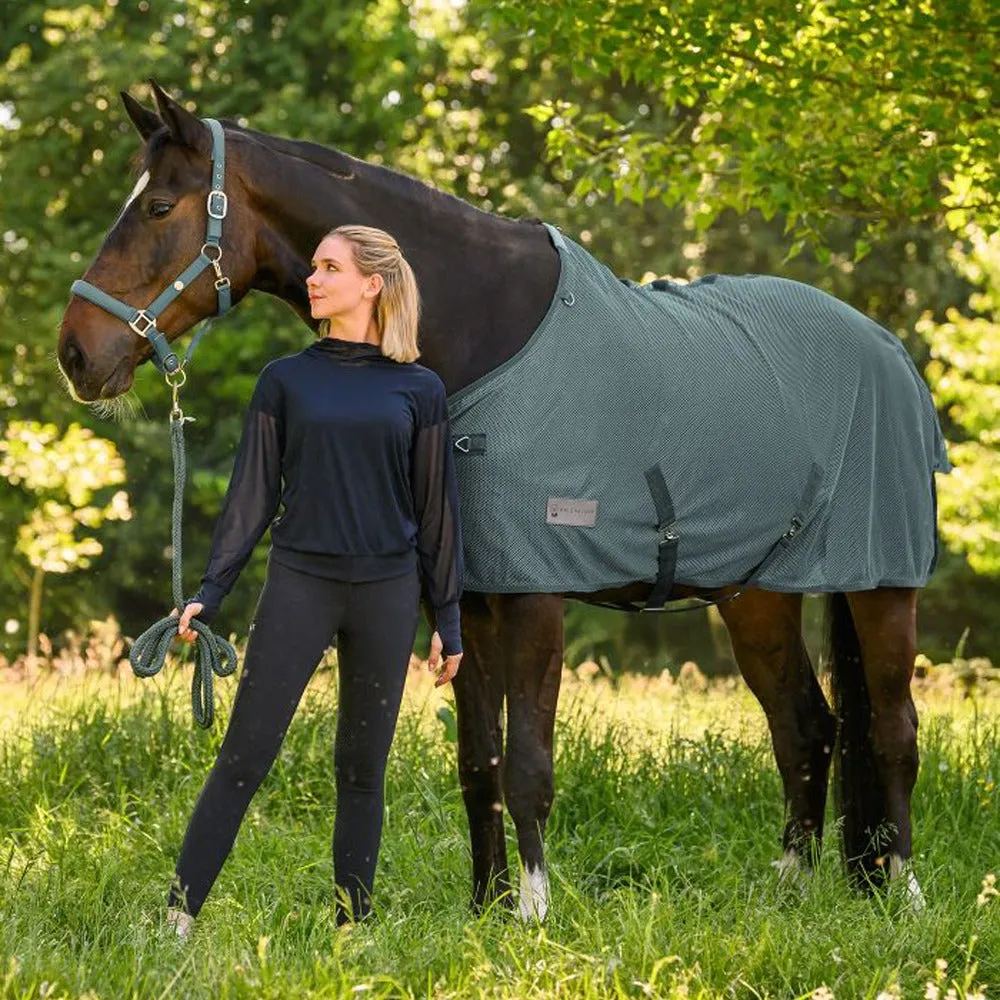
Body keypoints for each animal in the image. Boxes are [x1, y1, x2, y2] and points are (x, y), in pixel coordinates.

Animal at [59, 82, 942, 919]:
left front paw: (534, 911)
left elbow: (527, 766)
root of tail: (888, 348)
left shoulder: (534, 597)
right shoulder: (468, 601)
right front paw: (484, 908)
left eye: (159, 207)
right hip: (754, 596)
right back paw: (791, 890)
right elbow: (477, 762)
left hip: (882, 587)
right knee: (806, 728)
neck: (487, 334)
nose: (75, 353)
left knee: (892, 730)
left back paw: (903, 891)